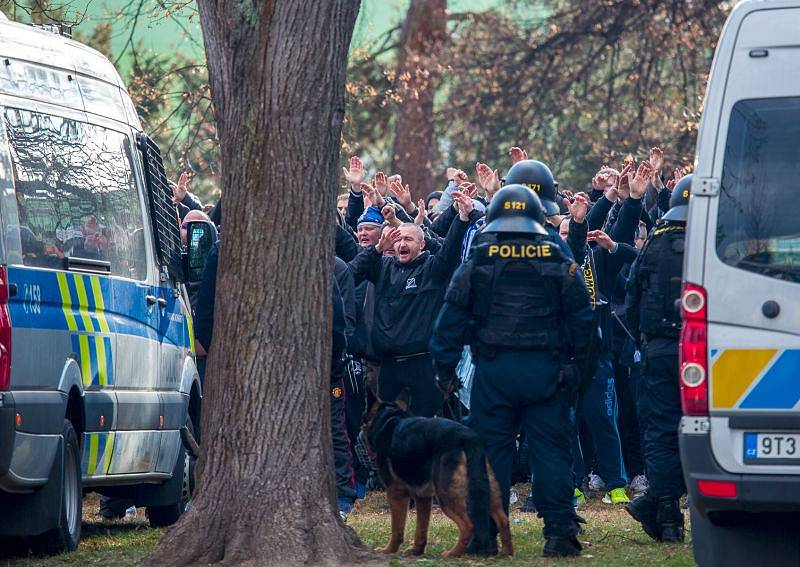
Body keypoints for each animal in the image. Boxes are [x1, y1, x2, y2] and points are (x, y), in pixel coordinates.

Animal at [360, 390, 512, 560]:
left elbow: (397, 528)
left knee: (468, 526)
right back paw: (507, 553)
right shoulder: (423, 497)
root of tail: (468, 437)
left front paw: (389, 550)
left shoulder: (395, 493)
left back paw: (453, 553)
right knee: (503, 519)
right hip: (488, 492)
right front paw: (416, 552)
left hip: (446, 497)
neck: (389, 418)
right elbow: (421, 529)